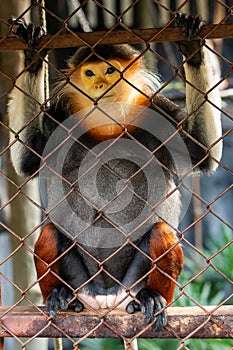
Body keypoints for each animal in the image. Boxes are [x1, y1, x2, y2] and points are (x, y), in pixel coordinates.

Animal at [7, 12, 222, 340]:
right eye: (90, 73)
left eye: (110, 70)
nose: (99, 84)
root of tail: (106, 299)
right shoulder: (60, 116)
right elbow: (28, 158)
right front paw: (31, 55)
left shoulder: (156, 108)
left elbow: (203, 151)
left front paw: (193, 50)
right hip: (82, 281)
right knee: (50, 232)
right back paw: (59, 295)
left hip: (131, 282)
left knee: (162, 231)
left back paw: (151, 298)